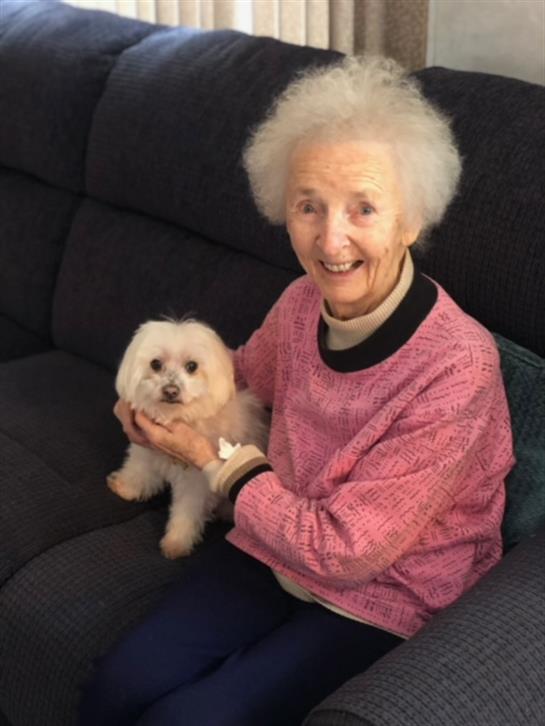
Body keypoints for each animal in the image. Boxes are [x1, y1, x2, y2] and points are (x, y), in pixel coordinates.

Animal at [108, 319, 268, 558]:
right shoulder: (145, 452)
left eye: (192, 366)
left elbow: (187, 512)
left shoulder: (196, 484)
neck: (176, 416)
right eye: (155, 364)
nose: (170, 390)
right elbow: (139, 472)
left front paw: (176, 542)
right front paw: (126, 488)